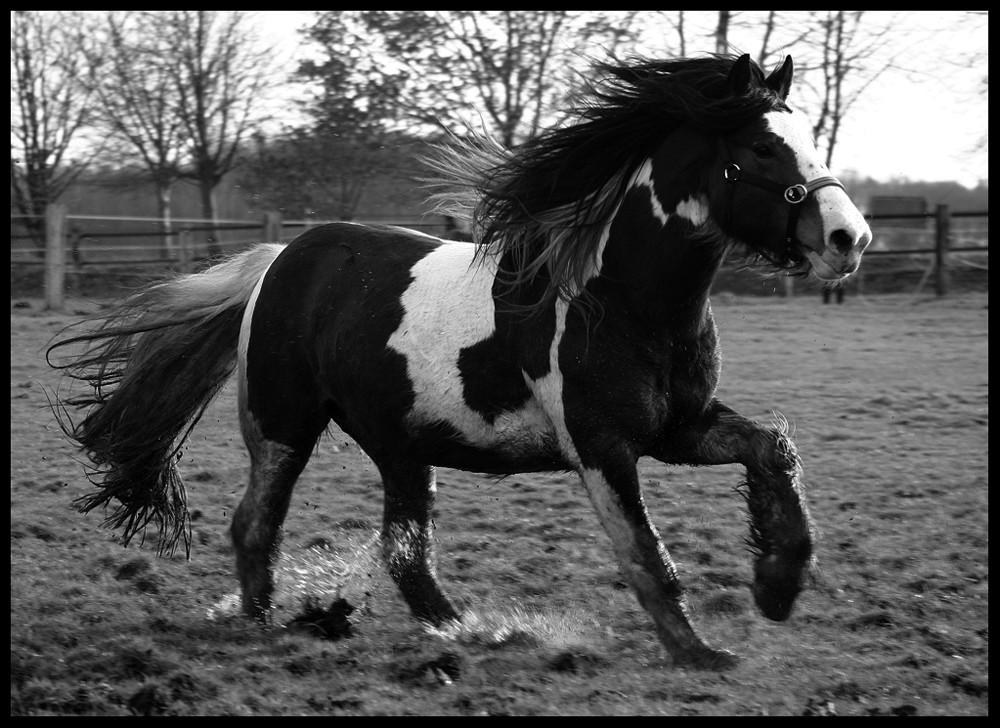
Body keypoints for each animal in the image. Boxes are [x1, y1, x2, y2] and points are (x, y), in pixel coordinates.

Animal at [50, 55, 872, 672]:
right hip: (284, 428)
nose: (849, 238)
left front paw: (778, 584)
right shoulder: (602, 447)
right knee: (257, 524)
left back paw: (470, 630)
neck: (621, 298)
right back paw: (263, 624)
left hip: (403, 448)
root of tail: (279, 261)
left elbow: (772, 450)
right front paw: (699, 653)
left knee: (405, 555)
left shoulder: (681, 428)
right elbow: (647, 556)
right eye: (762, 148)